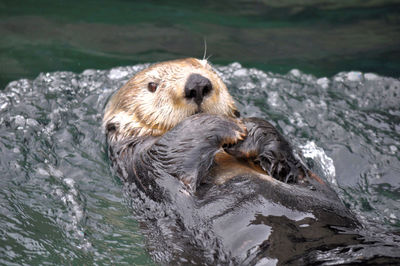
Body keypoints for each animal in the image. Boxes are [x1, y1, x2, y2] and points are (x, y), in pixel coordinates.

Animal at [103, 58, 360, 264]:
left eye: (208, 68)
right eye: (152, 86)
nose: (197, 83)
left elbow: (293, 169)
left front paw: (250, 131)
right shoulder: (146, 163)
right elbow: (176, 146)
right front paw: (232, 126)